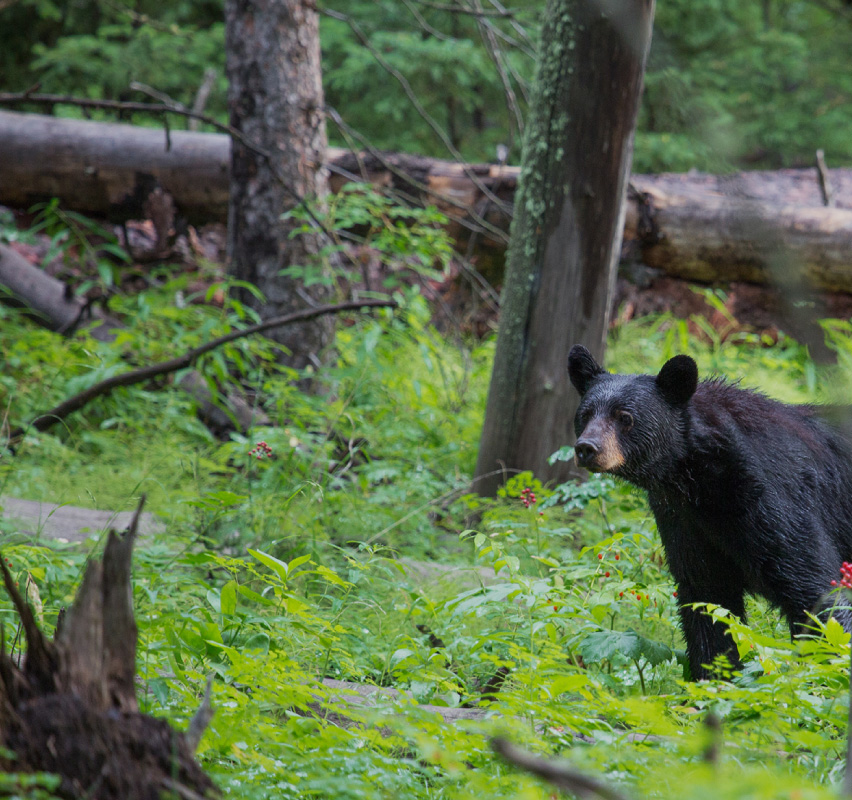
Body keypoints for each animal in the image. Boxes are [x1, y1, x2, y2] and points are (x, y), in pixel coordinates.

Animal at [564, 346, 852, 680]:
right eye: (585, 415)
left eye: (625, 417)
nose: (587, 448)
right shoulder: (684, 521)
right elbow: (707, 602)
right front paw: (713, 681)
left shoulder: (775, 499)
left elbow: (814, 589)